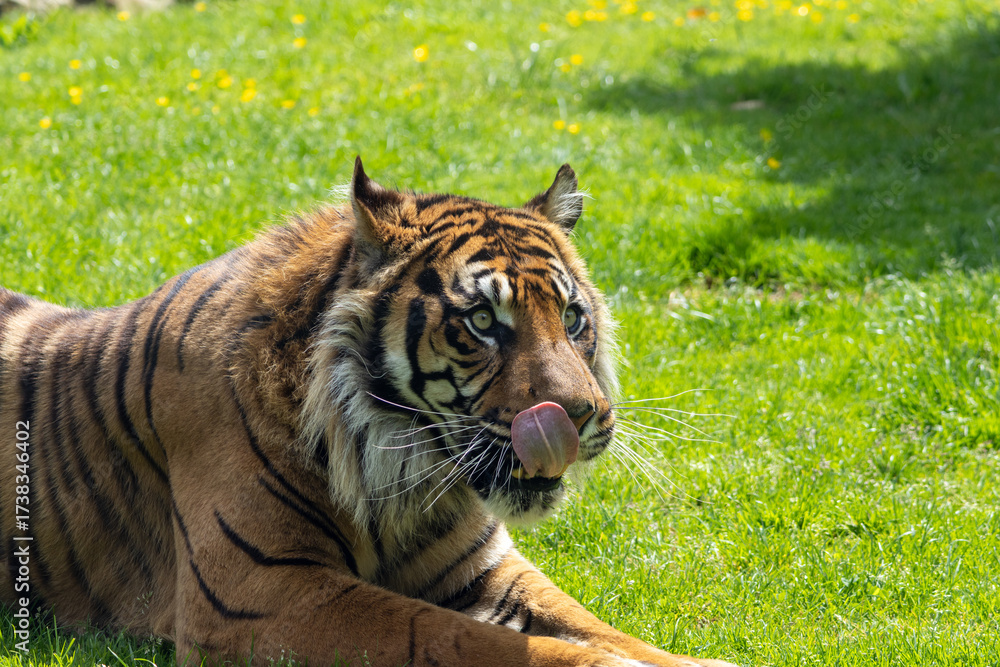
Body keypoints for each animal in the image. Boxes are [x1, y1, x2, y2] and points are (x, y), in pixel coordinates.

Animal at [0, 158, 737, 667]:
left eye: (574, 317)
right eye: (482, 321)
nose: (582, 418)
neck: (397, 471)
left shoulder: (480, 570)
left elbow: (594, 625)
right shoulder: (259, 594)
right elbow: (450, 637)